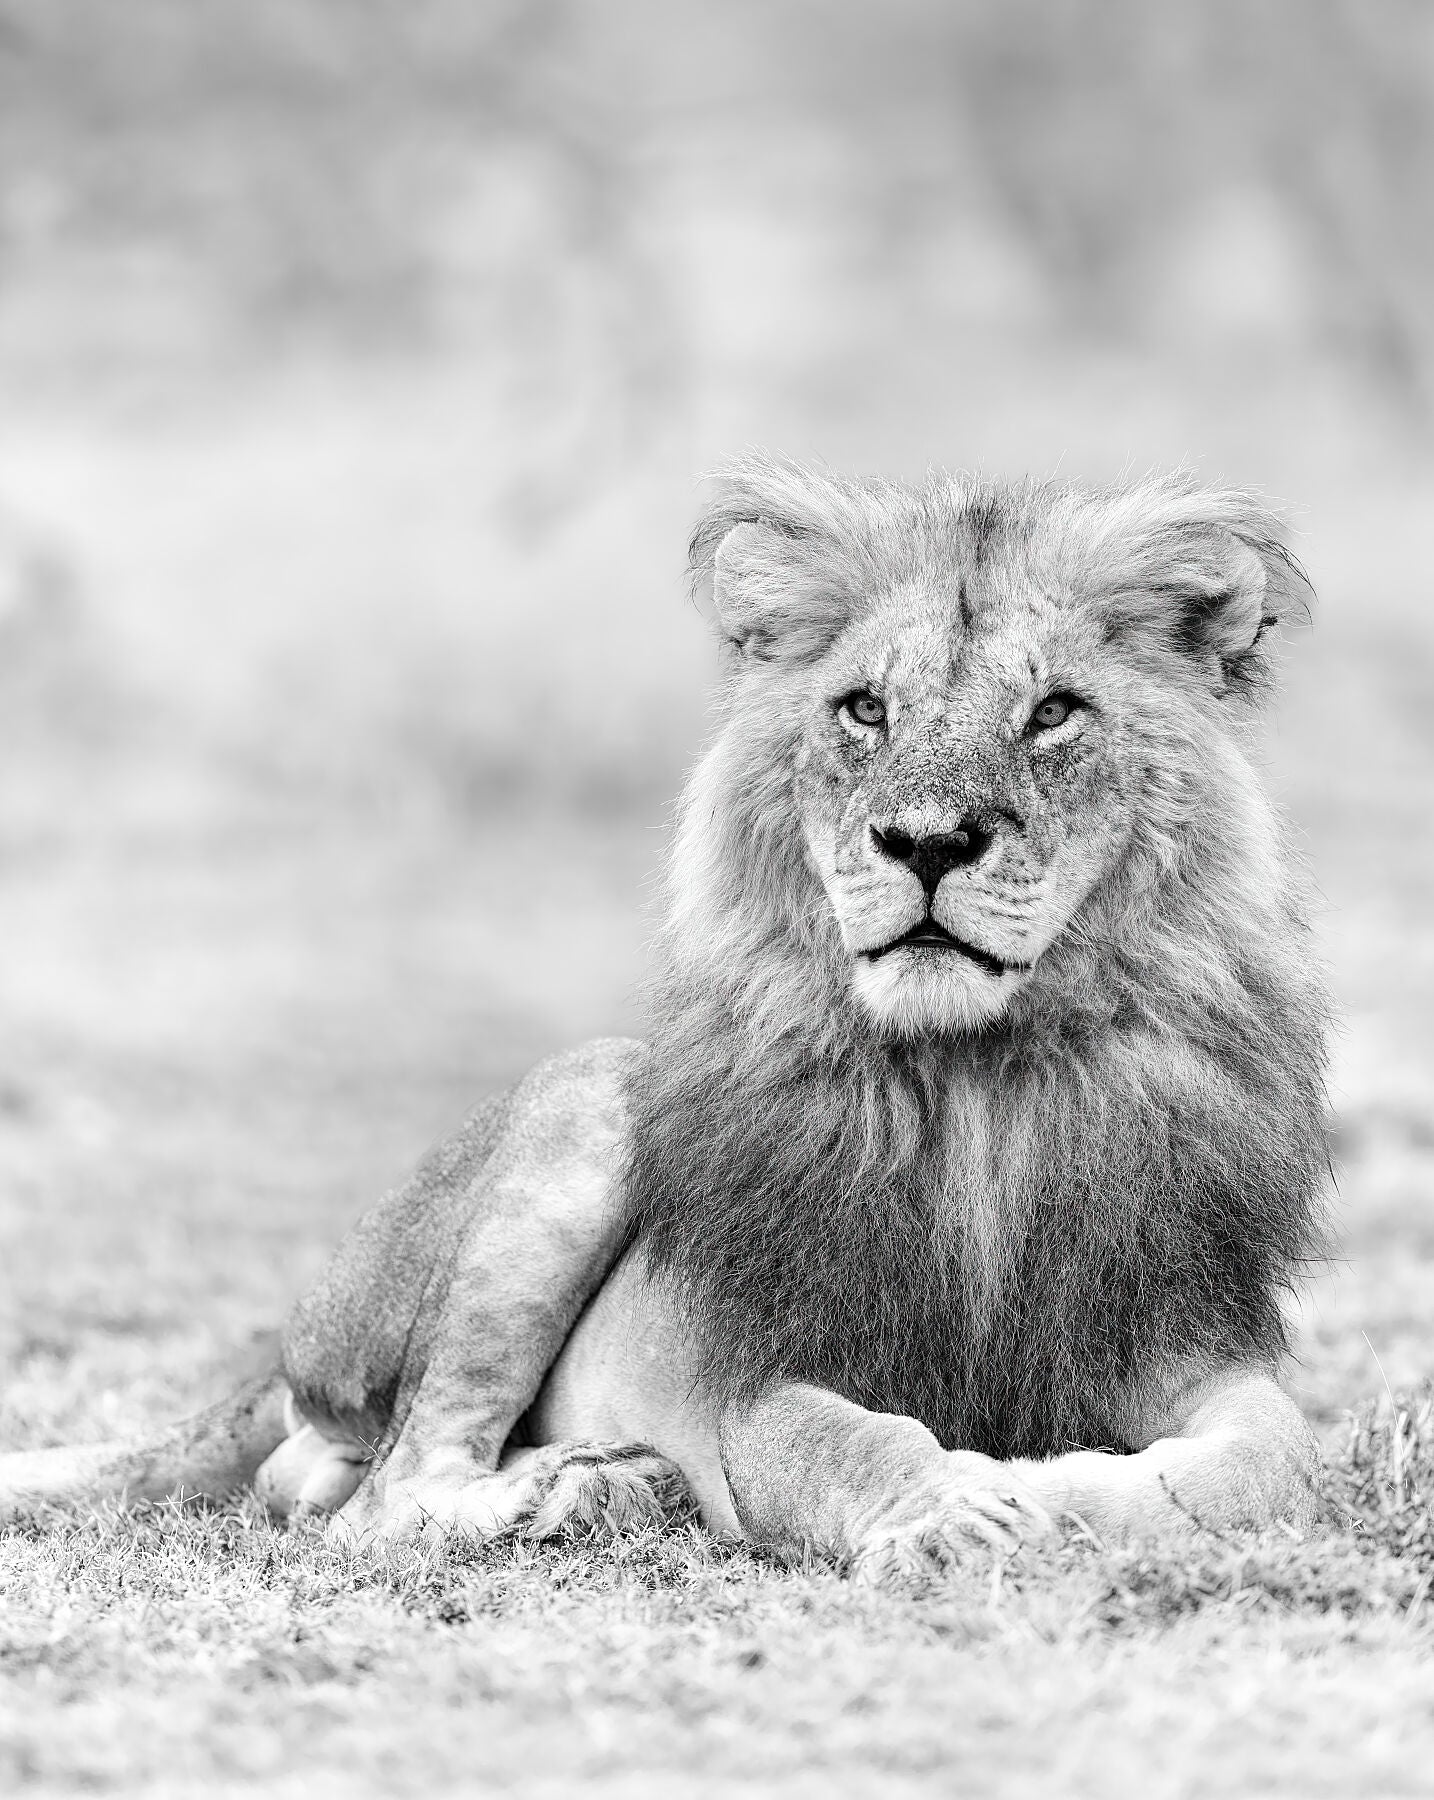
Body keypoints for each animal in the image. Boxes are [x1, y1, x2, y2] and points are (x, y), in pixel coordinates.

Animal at [0, 460, 1331, 1576]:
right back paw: (579, 1492)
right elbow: (857, 1442)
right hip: (592, 1096)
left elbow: (1267, 1457)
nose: (926, 843)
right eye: (864, 711)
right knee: (384, 1494)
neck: (979, 1084)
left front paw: (1055, 1497)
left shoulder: (1179, 1332)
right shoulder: (764, 1369)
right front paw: (956, 1513)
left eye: (1054, 712)